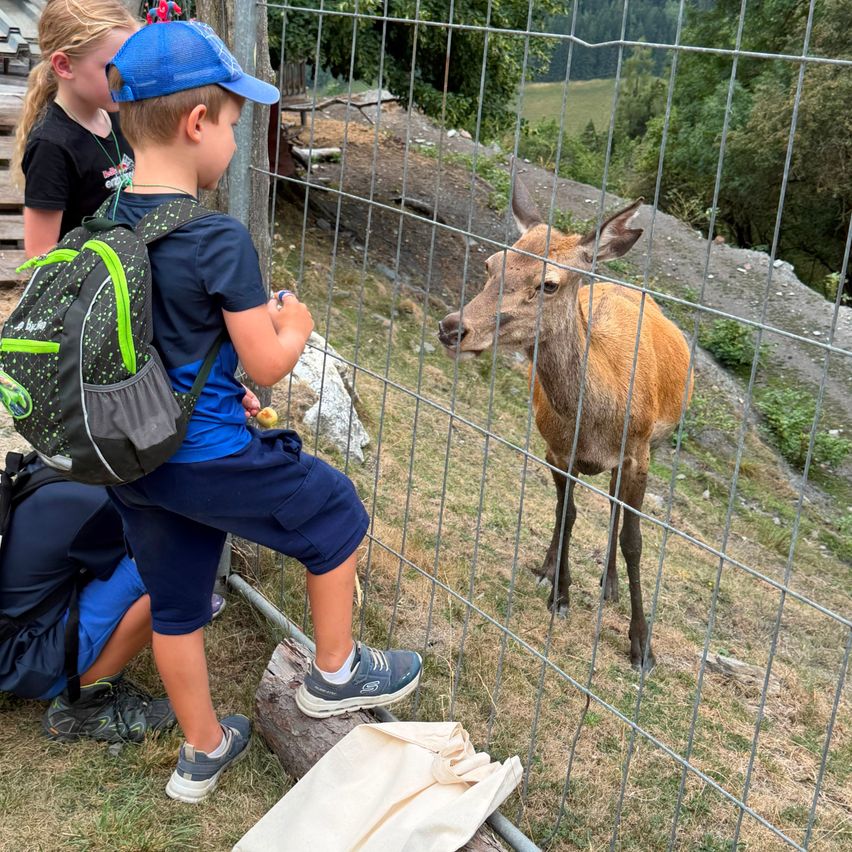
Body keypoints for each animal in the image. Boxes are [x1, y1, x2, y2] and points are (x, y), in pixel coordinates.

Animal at [437, 171, 693, 671]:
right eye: (491, 264)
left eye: (549, 284)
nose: (453, 327)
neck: (594, 423)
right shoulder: (556, 449)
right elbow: (567, 513)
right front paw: (559, 590)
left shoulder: (638, 453)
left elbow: (634, 539)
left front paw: (642, 646)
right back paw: (549, 568)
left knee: (614, 505)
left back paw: (609, 585)